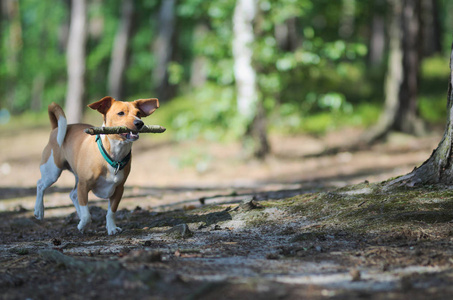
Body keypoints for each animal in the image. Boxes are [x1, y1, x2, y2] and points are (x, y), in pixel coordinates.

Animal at [35, 96, 159, 234]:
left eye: (138, 113)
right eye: (121, 113)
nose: (139, 123)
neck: (114, 155)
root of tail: (55, 129)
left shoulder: (119, 189)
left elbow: (111, 212)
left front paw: (111, 228)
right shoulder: (83, 186)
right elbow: (87, 215)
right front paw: (83, 224)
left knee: (73, 195)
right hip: (52, 171)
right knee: (40, 185)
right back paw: (39, 210)